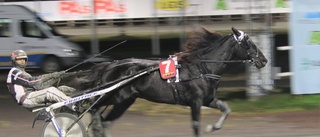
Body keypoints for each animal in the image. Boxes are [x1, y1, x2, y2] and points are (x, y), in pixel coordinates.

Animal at [72, 26, 268, 136]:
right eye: (249, 44)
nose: (264, 60)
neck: (202, 68)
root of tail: (110, 65)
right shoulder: (195, 101)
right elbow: (195, 126)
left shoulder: (207, 99)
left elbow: (226, 109)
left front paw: (213, 127)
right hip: (115, 96)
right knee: (93, 105)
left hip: (125, 101)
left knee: (106, 121)